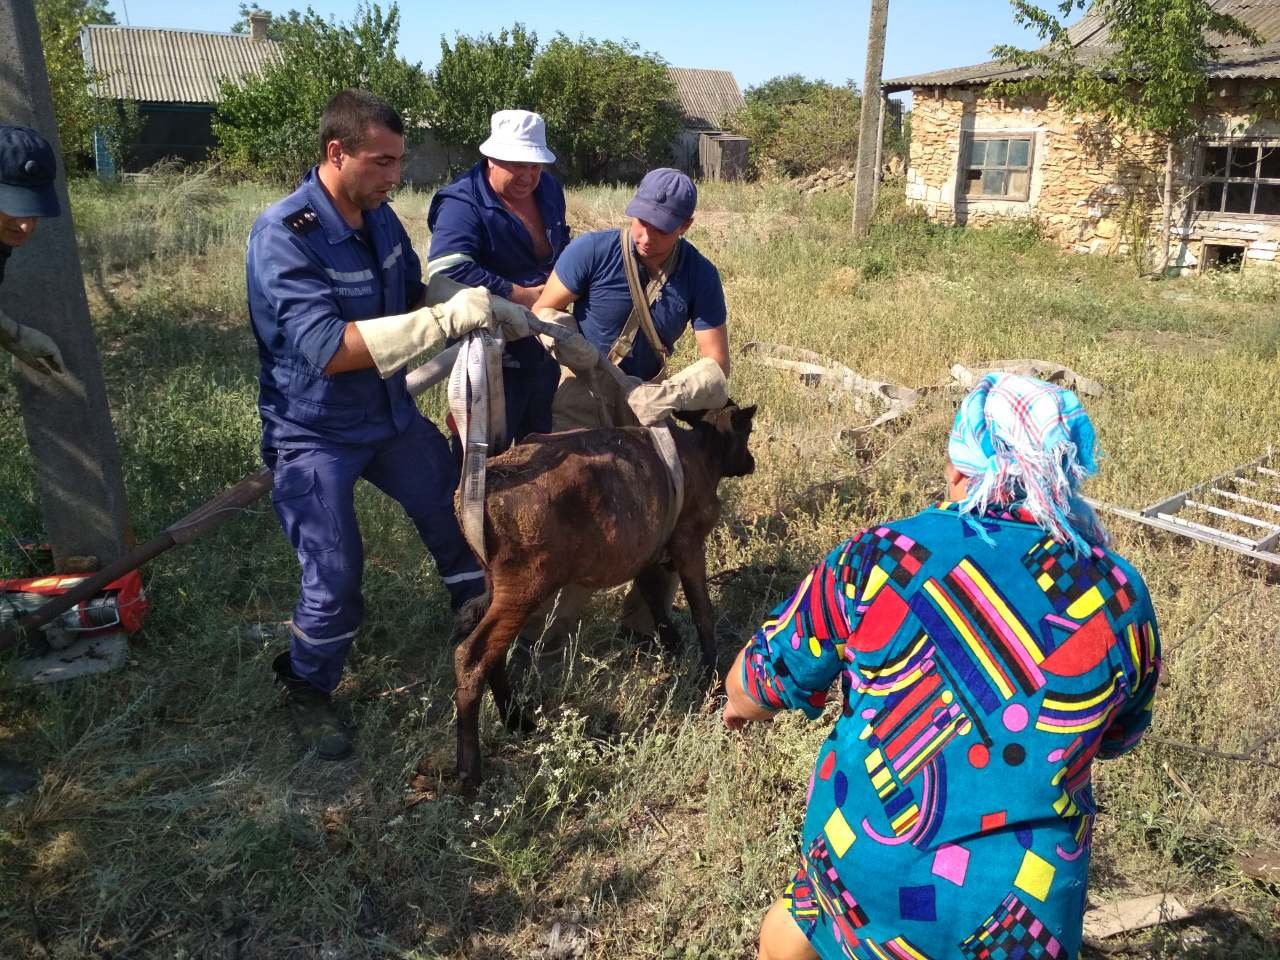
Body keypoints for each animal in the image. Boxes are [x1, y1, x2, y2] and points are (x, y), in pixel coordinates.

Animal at [453, 404, 752, 788]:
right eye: (747, 429)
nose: (751, 462)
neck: (703, 453)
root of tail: (478, 493)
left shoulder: (647, 555)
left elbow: (657, 607)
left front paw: (675, 654)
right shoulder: (688, 542)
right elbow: (702, 610)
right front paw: (711, 675)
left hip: (497, 583)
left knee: (488, 646)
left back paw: (518, 721)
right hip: (525, 584)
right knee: (472, 655)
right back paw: (471, 769)